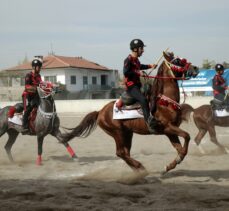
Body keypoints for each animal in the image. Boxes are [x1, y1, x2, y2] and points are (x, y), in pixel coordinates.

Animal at [61, 51, 199, 173]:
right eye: (177, 61)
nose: (196, 68)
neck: (164, 101)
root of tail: (100, 111)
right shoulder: (168, 127)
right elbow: (187, 136)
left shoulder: (170, 131)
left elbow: (181, 149)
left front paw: (170, 166)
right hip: (117, 133)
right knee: (121, 152)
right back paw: (140, 168)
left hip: (127, 133)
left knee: (125, 153)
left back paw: (138, 171)